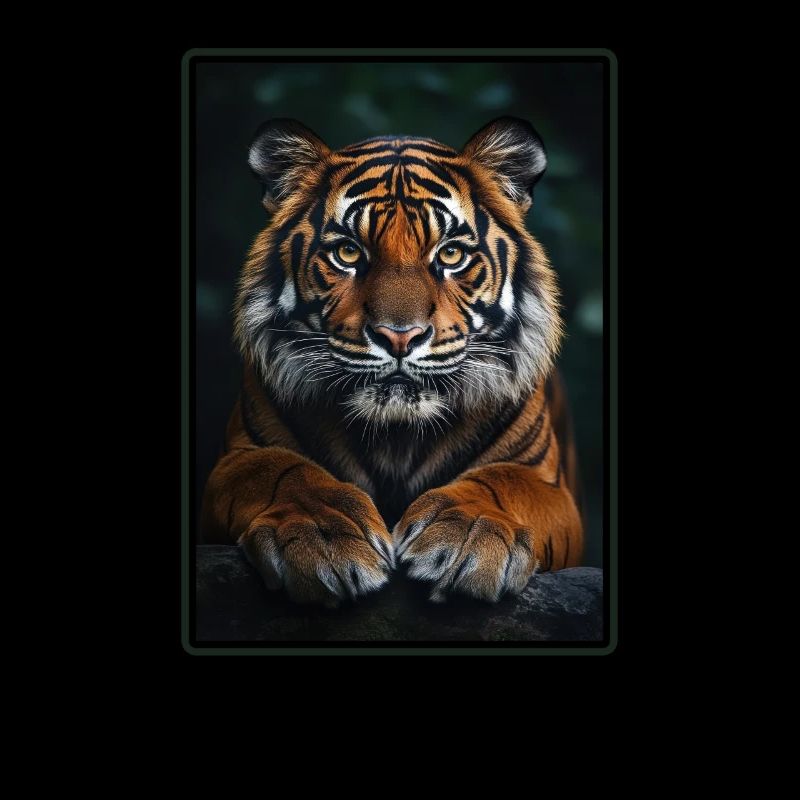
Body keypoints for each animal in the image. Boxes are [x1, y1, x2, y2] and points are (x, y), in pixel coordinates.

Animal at [200, 116, 584, 607]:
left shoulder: (544, 479)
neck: (395, 436)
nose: (399, 336)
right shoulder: (240, 456)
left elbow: (502, 482)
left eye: (451, 254)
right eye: (348, 253)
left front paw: (466, 534)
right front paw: (323, 535)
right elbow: (283, 472)